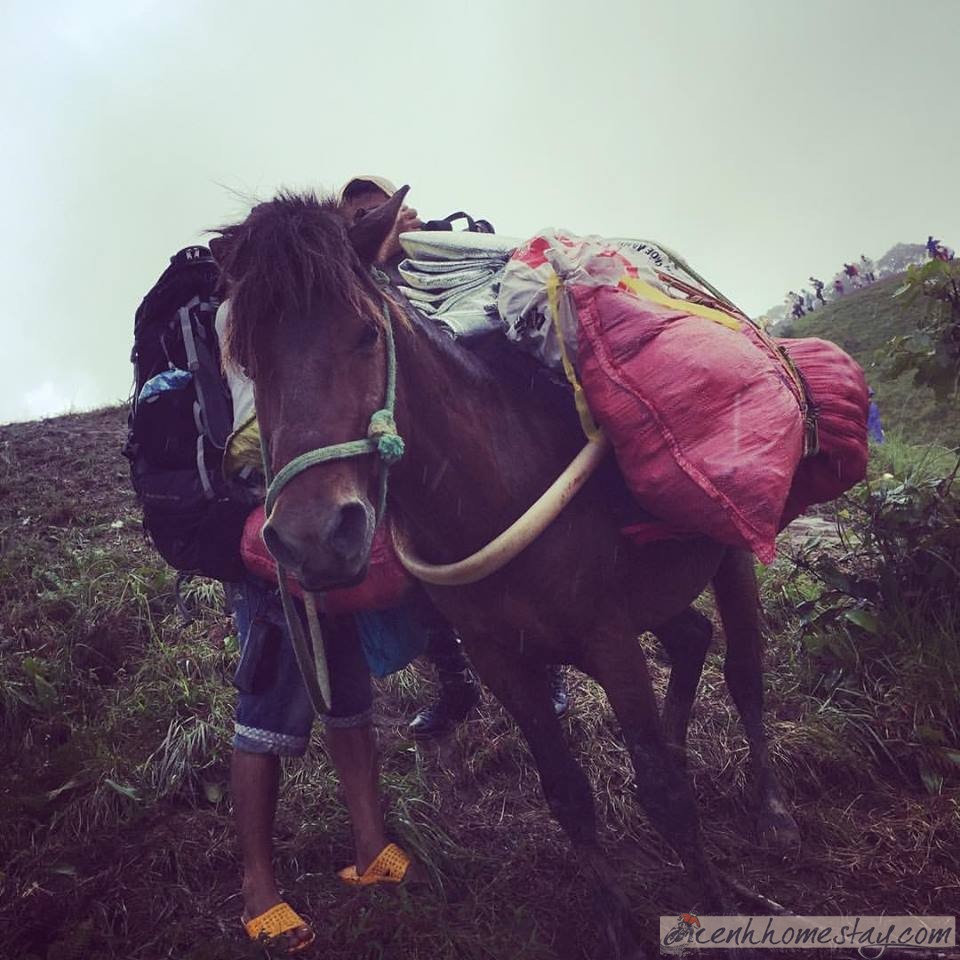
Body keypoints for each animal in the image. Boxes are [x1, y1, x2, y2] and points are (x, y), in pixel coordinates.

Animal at [214, 189, 800, 960]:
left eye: (366, 335)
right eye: (248, 363)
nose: (313, 538)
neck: (490, 487)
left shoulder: (608, 639)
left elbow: (665, 797)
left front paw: (716, 905)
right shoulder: (502, 660)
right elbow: (567, 794)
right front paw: (618, 924)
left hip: (730, 558)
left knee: (743, 673)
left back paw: (772, 809)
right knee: (691, 639)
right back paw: (684, 744)